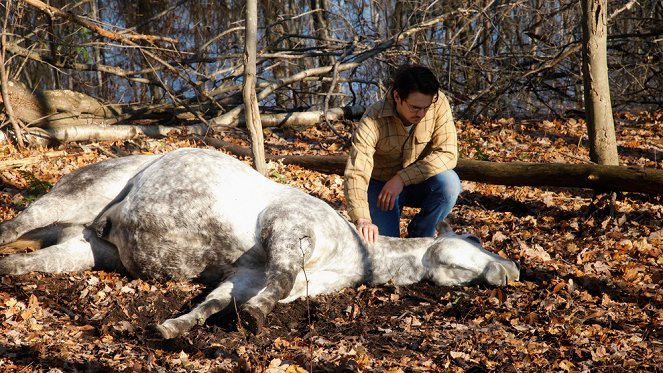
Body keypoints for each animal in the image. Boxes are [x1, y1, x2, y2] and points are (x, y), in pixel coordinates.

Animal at [0, 147, 520, 338]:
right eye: (471, 252)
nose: (510, 272)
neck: (353, 252)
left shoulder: (248, 275)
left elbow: (214, 303)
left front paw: (174, 327)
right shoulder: (288, 231)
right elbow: (278, 280)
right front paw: (253, 318)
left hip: (85, 249)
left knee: (22, 263)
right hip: (67, 200)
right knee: (12, 228)